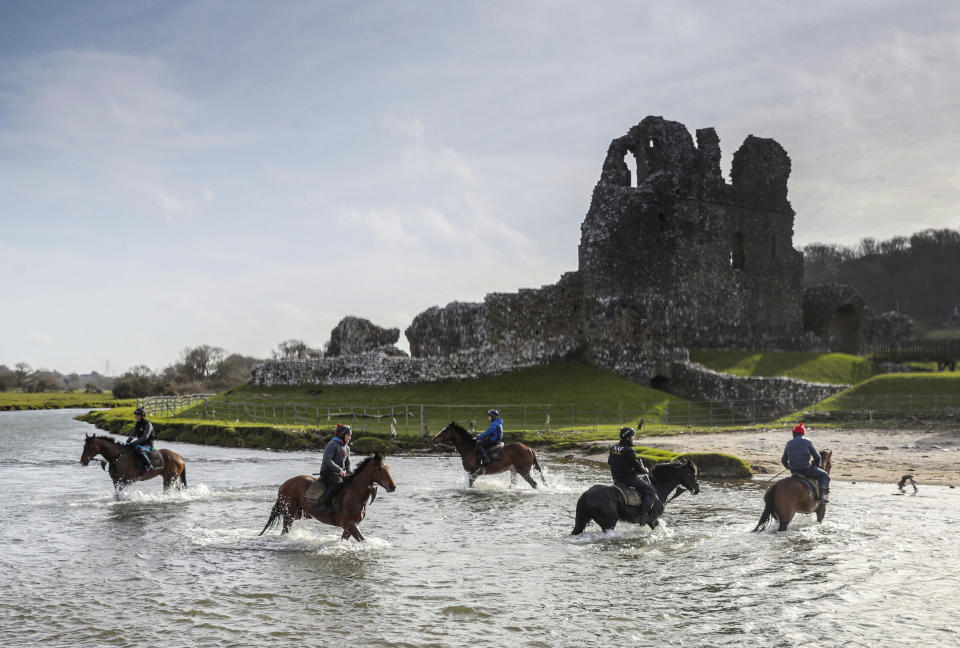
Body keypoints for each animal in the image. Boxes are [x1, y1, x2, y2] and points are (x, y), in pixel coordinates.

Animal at [256, 450, 396, 540]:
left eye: (389, 468)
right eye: (379, 469)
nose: (392, 486)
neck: (355, 494)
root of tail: (283, 485)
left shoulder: (349, 527)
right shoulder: (349, 524)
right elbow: (362, 539)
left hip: (300, 514)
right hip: (289, 514)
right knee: (285, 531)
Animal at [568, 458, 696, 536]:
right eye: (692, 474)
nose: (697, 489)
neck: (658, 486)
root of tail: (586, 494)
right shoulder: (652, 519)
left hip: (583, 520)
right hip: (609, 523)